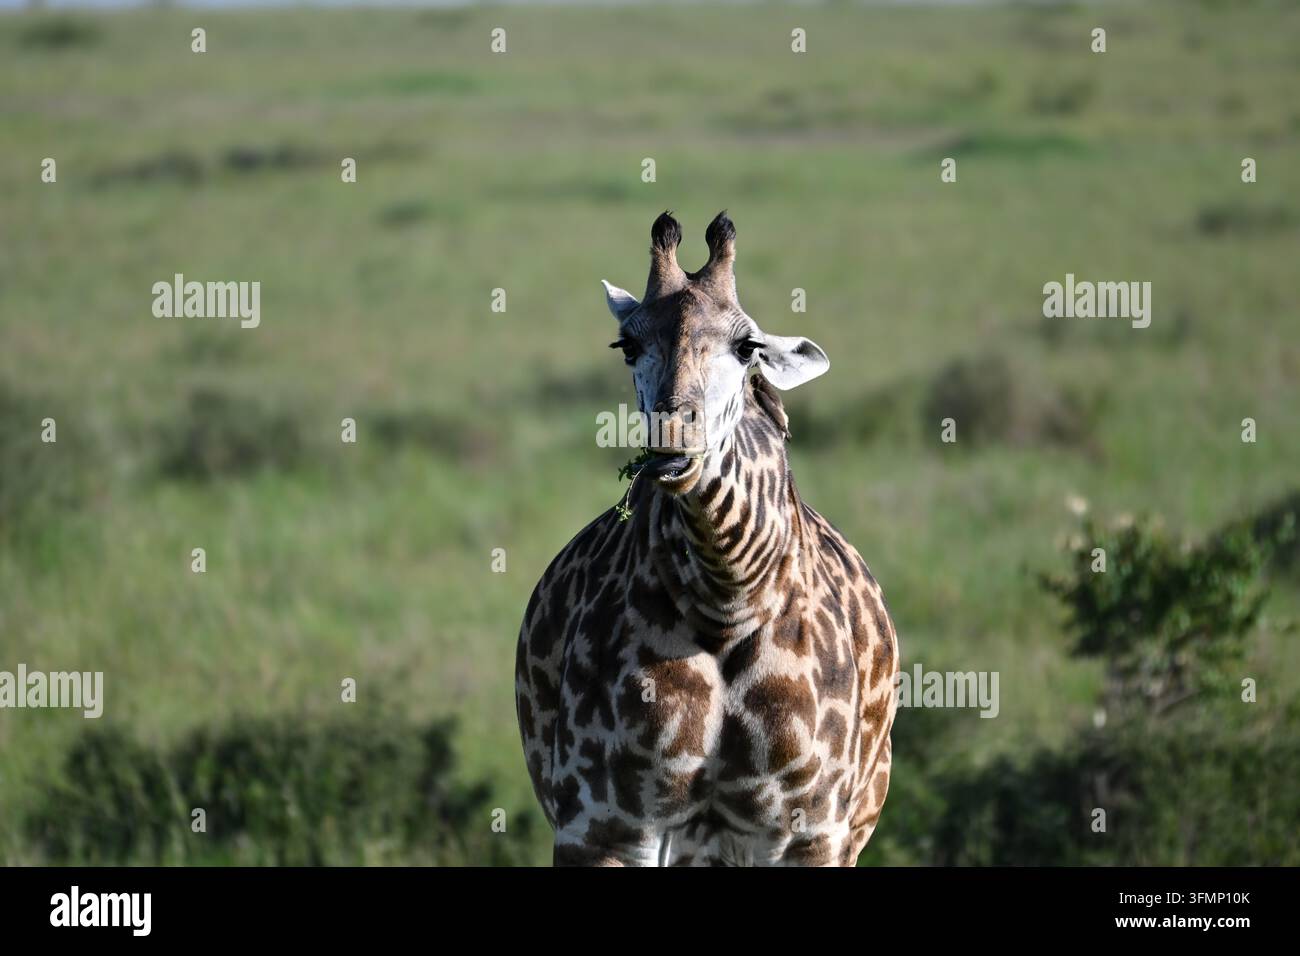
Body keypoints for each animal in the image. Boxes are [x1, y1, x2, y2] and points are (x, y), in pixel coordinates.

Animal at [515, 211, 899, 866]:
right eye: (628, 345)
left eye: (747, 347)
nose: (673, 439)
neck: (727, 599)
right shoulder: (603, 825)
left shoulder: (811, 832)